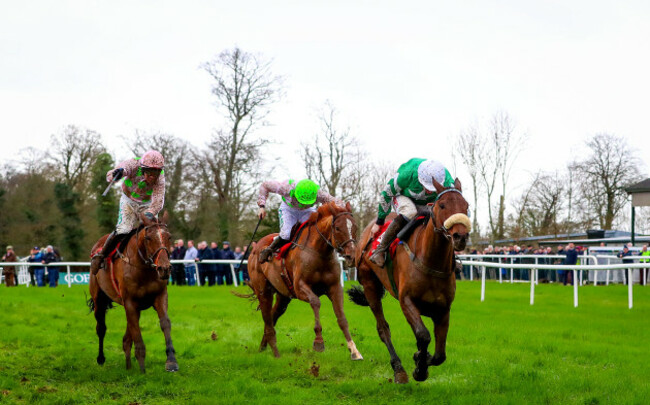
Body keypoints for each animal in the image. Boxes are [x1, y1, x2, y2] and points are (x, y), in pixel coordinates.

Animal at [87, 211, 177, 372]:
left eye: (169, 237)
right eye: (148, 238)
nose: (164, 268)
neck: (143, 269)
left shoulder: (159, 296)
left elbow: (165, 323)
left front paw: (171, 361)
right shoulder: (130, 302)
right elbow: (136, 332)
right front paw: (142, 369)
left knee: (126, 338)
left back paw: (128, 365)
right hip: (99, 299)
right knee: (101, 328)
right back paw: (101, 358)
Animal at [244, 202, 364, 360]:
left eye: (355, 227)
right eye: (338, 228)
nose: (351, 256)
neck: (319, 253)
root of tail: (256, 246)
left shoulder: (335, 287)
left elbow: (342, 319)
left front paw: (354, 351)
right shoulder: (300, 287)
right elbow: (316, 302)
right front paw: (319, 341)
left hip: (283, 297)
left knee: (272, 317)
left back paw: (263, 348)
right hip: (263, 291)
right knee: (268, 320)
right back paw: (276, 353)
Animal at [346, 178, 468, 382]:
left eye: (466, 206)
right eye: (442, 205)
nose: (461, 236)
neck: (430, 260)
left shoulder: (443, 308)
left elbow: (440, 354)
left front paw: (421, 359)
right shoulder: (407, 301)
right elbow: (423, 335)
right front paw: (419, 369)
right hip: (369, 284)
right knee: (383, 328)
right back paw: (398, 369)